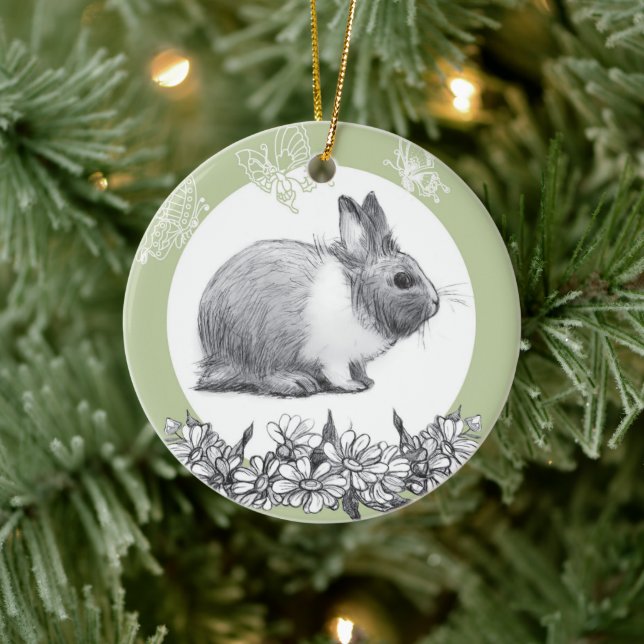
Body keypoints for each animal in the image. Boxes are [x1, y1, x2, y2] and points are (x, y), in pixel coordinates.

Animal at [196, 191, 440, 397]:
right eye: (403, 280)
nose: (436, 302)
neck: (355, 298)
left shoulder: (355, 357)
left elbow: (358, 367)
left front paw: (366, 380)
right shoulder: (334, 355)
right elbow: (338, 373)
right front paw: (353, 385)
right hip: (259, 346)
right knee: (259, 375)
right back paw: (296, 382)